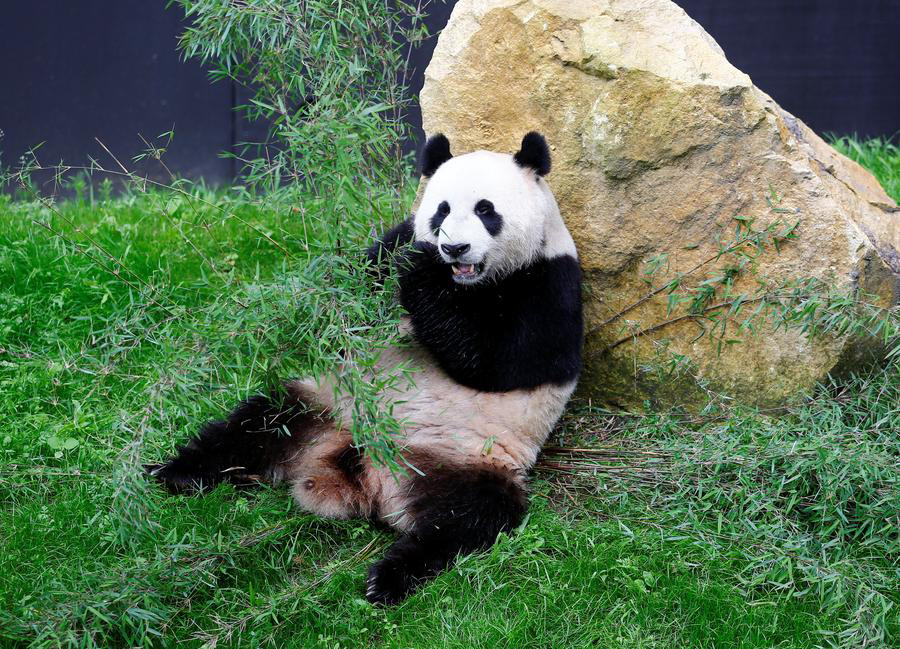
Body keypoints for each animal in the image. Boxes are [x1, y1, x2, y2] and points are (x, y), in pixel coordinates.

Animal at [148, 132, 583, 605]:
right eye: (442, 210)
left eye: (487, 210)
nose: (454, 248)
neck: (469, 283)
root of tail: (365, 475)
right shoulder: (393, 243)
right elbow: (356, 284)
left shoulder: (551, 283)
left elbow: (495, 362)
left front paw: (422, 273)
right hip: (322, 404)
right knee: (253, 425)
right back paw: (176, 472)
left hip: (469, 459)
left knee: (467, 519)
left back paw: (390, 577)